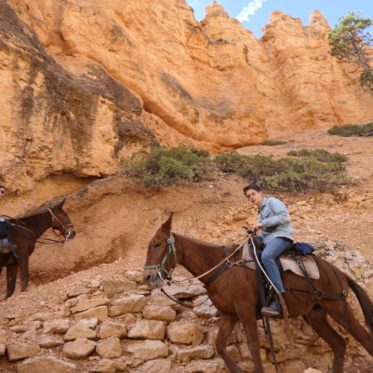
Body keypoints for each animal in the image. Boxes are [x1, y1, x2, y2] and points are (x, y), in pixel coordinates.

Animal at [144, 214, 372, 372]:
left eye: (157, 244)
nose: (147, 278)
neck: (222, 267)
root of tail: (338, 272)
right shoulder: (230, 315)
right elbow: (220, 345)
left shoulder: (245, 311)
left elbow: (253, 347)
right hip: (316, 315)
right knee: (339, 345)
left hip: (339, 308)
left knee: (364, 339)